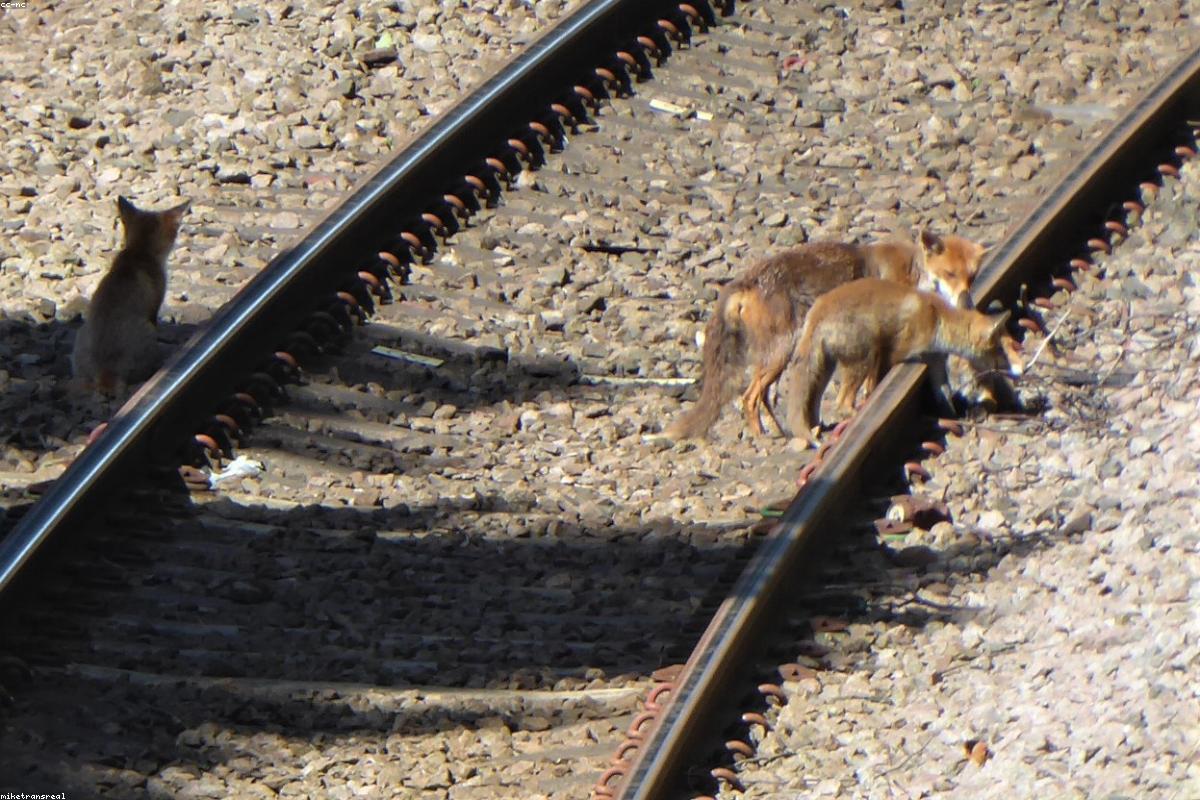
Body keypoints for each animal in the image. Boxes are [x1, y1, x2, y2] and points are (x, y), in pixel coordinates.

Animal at [665, 229, 985, 440]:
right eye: (950, 274)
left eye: (971, 277)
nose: (967, 302)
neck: (912, 271)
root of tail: (743, 282)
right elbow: (873, 385)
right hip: (781, 352)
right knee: (749, 397)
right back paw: (763, 438)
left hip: (777, 357)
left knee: (762, 396)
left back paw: (781, 432)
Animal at [786, 278, 1023, 447]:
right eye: (1002, 351)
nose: (1019, 371)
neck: (937, 320)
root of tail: (816, 310)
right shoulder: (893, 354)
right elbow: (875, 386)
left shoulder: (935, 362)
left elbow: (944, 396)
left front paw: (954, 419)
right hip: (865, 356)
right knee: (841, 404)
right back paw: (856, 421)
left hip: (826, 369)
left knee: (814, 404)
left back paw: (818, 427)